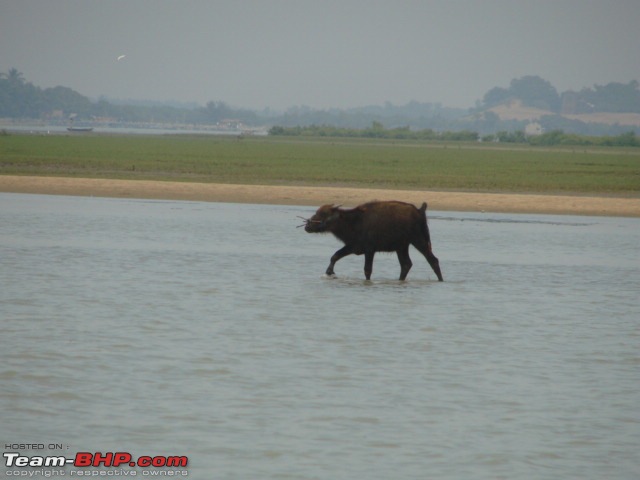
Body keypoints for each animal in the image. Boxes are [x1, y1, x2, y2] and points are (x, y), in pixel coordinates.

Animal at [302, 202, 442, 282]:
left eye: (323, 214)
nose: (307, 226)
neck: (354, 222)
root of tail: (420, 211)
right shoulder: (354, 247)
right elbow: (335, 255)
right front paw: (329, 272)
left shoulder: (369, 250)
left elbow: (367, 270)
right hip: (402, 247)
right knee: (406, 264)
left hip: (418, 241)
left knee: (433, 260)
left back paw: (441, 280)